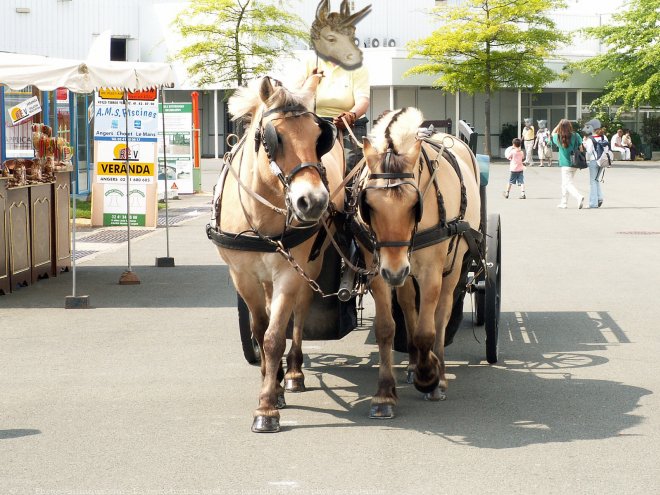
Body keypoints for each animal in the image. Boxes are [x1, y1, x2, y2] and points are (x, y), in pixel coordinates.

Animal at [209, 75, 346, 432]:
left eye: (319, 138)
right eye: (274, 138)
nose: (313, 202)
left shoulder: (289, 273)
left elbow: (274, 337)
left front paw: (267, 406)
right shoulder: (242, 276)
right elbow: (260, 331)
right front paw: (270, 387)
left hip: (308, 267)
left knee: (299, 314)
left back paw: (294, 372)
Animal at [356, 108, 480, 418]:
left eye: (415, 205)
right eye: (368, 205)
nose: (395, 270)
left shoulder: (430, 271)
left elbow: (427, 330)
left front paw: (429, 378)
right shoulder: (378, 268)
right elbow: (386, 328)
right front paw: (385, 394)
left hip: (451, 265)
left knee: (441, 313)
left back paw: (439, 372)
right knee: (408, 304)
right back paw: (413, 364)